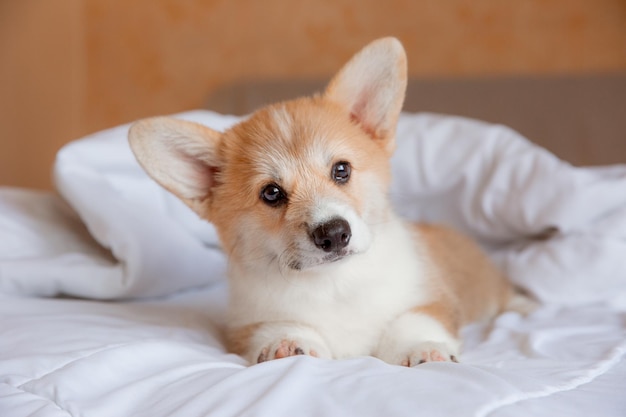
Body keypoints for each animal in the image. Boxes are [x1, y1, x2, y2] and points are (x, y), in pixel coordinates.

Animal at [128, 37, 516, 366]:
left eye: (341, 170)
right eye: (271, 193)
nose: (333, 234)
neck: (334, 284)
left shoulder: (432, 298)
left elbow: (414, 320)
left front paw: (423, 349)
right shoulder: (249, 322)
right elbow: (277, 328)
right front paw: (286, 344)